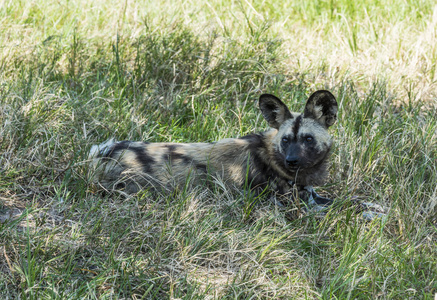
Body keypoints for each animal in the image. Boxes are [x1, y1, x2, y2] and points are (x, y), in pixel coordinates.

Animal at [87, 91, 384, 220]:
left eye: (308, 139)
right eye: (286, 140)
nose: (292, 161)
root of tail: (102, 156)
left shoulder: (310, 195)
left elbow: (351, 200)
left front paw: (376, 207)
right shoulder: (296, 206)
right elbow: (345, 207)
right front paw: (372, 215)